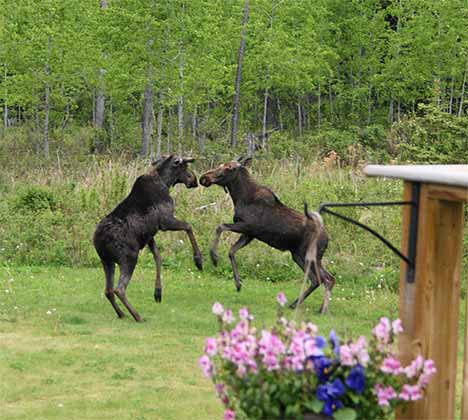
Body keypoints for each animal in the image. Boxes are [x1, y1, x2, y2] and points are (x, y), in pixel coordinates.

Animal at [93, 154, 203, 322]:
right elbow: (189, 227)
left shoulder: (149, 235)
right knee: (119, 289)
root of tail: (99, 241)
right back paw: (137, 316)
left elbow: (158, 257)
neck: (166, 182)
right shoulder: (165, 221)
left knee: (108, 290)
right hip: (129, 257)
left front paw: (158, 292)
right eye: (184, 166)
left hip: (107, 261)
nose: (194, 179)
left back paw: (121, 313)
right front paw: (198, 260)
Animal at [199, 156, 334, 314]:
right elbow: (231, 251)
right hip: (299, 255)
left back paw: (304, 305)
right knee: (327, 279)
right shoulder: (249, 234)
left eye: (229, 168)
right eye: (222, 165)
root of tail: (327, 239)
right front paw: (238, 283)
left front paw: (214, 257)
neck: (239, 197)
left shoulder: (247, 226)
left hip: (307, 255)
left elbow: (220, 227)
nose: (204, 177)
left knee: (319, 279)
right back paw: (318, 308)